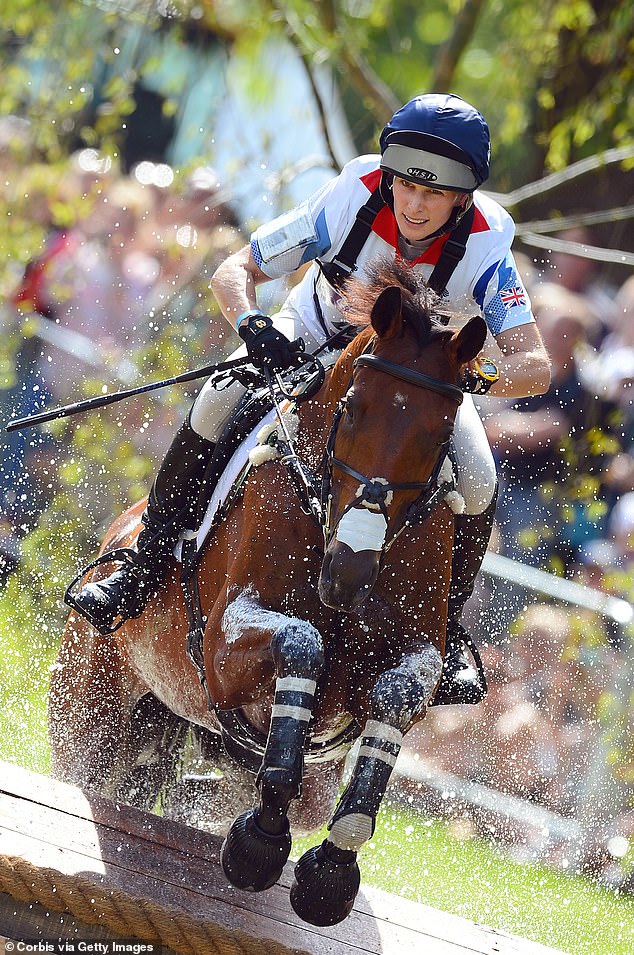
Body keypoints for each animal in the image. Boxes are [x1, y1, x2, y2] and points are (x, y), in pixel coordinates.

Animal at [49, 262, 484, 928]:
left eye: (440, 434)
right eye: (352, 409)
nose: (349, 575)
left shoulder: (407, 656)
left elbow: (393, 695)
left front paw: (330, 875)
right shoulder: (225, 647)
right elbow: (302, 645)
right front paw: (258, 845)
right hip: (88, 708)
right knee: (90, 769)